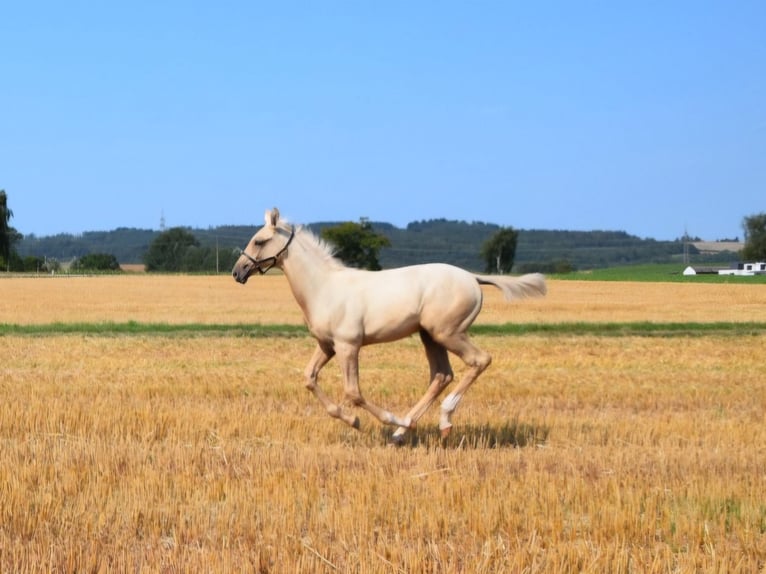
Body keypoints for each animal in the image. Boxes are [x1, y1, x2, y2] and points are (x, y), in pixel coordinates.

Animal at [231, 209, 548, 444]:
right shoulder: (327, 346)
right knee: (441, 375)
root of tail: (473, 278)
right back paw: (402, 431)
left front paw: (370, 420)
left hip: (448, 333)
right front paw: (354, 420)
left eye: (259, 241)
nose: (237, 272)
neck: (323, 287)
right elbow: (309, 378)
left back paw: (439, 420)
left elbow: (353, 393)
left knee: (479, 360)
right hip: (429, 336)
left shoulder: (348, 346)